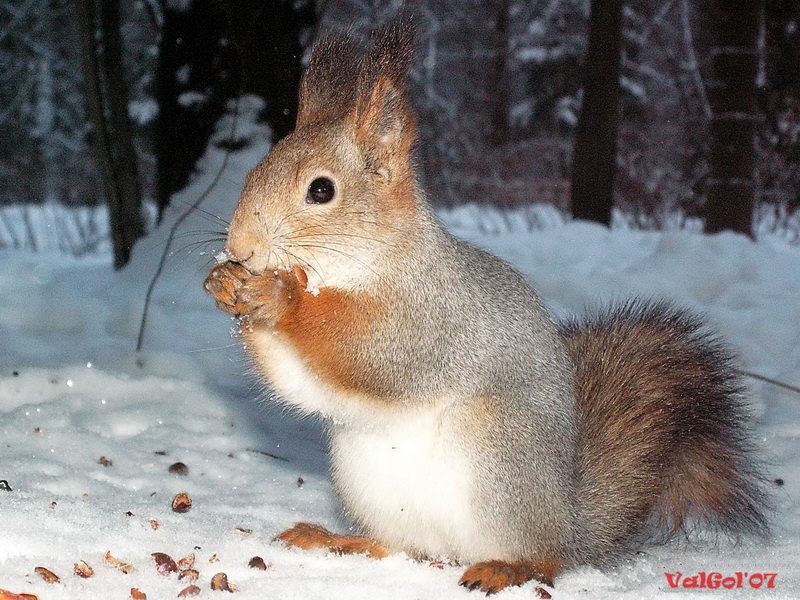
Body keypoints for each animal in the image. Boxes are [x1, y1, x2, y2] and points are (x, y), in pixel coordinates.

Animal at [203, 14, 772, 596]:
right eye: (253, 173)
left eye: (321, 191)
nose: (241, 246)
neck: (355, 270)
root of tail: (568, 521)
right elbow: (300, 385)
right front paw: (225, 284)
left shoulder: (432, 319)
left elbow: (371, 355)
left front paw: (281, 296)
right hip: (370, 481)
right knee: (396, 546)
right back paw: (333, 539)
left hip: (498, 462)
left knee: (543, 558)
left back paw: (507, 567)